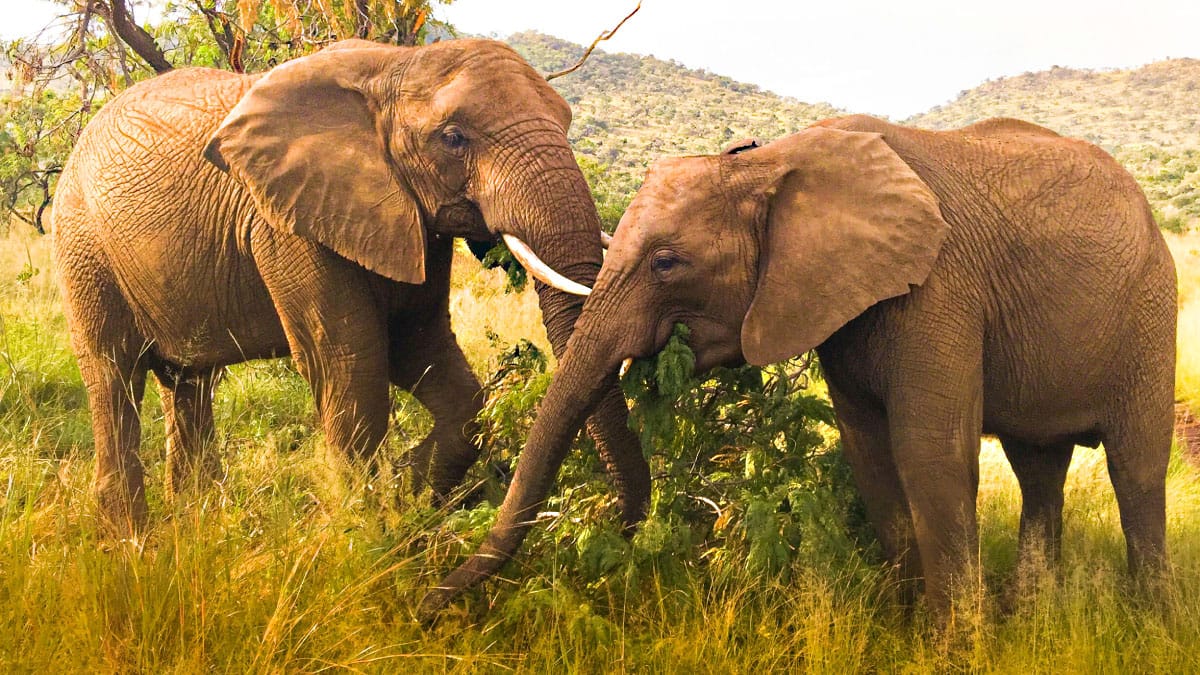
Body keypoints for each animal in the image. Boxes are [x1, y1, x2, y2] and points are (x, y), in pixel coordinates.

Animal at [52, 38, 649, 536]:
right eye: (453, 138)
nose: (621, 523)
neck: (395, 64)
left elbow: (431, 361)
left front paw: (406, 491)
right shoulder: (286, 226)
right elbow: (348, 364)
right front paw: (370, 534)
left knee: (189, 380)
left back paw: (201, 523)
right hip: (83, 245)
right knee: (113, 372)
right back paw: (132, 543)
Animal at [423, 114, 1177, 618]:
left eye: (668, 262)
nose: (426, 603)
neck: (772, 163)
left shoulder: (941, 287)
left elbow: (930, 454)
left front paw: (948, 646)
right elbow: (871, 455)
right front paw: (901, 629)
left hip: (1150, 311)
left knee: (1136, 468)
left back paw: (1149, 625)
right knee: (1039, 468)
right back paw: (1035, 616)